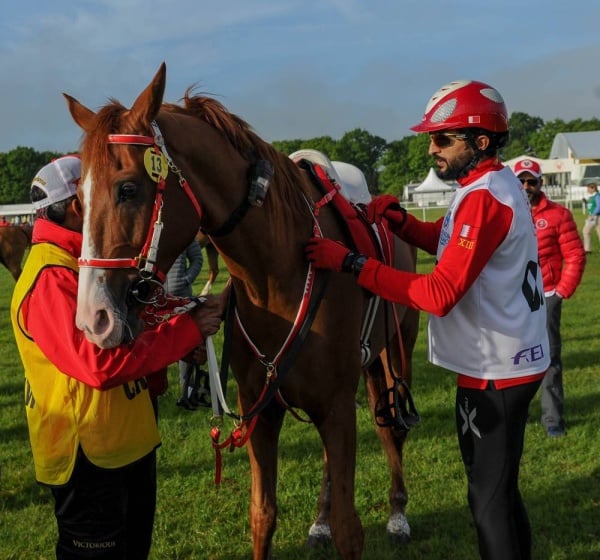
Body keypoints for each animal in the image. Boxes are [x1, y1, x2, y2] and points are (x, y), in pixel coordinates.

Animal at [61, 62, 418, 560]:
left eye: (128, 189)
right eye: (79, 198)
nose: (94, 319)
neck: (279, 274)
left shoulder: (335, 406)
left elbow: (350, 528)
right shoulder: (262, 412)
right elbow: (263, 516)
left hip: (392, 356)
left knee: (391, 430)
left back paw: (399, 513)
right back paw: (320, 521)